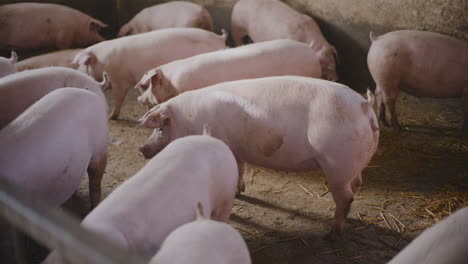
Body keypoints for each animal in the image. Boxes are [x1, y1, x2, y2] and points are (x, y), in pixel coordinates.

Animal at [72, 27, 229, 119]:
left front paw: (112, 117)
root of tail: (220, 38)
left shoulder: (119, 79)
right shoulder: (140, 80)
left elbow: (119, 98)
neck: (103, 61)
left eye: (82, 65)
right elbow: (144, 93)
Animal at [138, 76, 380, 237]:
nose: (141, 149)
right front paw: (240, 190)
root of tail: (364, 106)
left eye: (160, 128)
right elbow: (240, 167)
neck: (189, 119)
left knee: (345, 198)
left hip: (336, 164)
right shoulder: (236, 148)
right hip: (352, 165)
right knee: (356, 184)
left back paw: (331, 234)